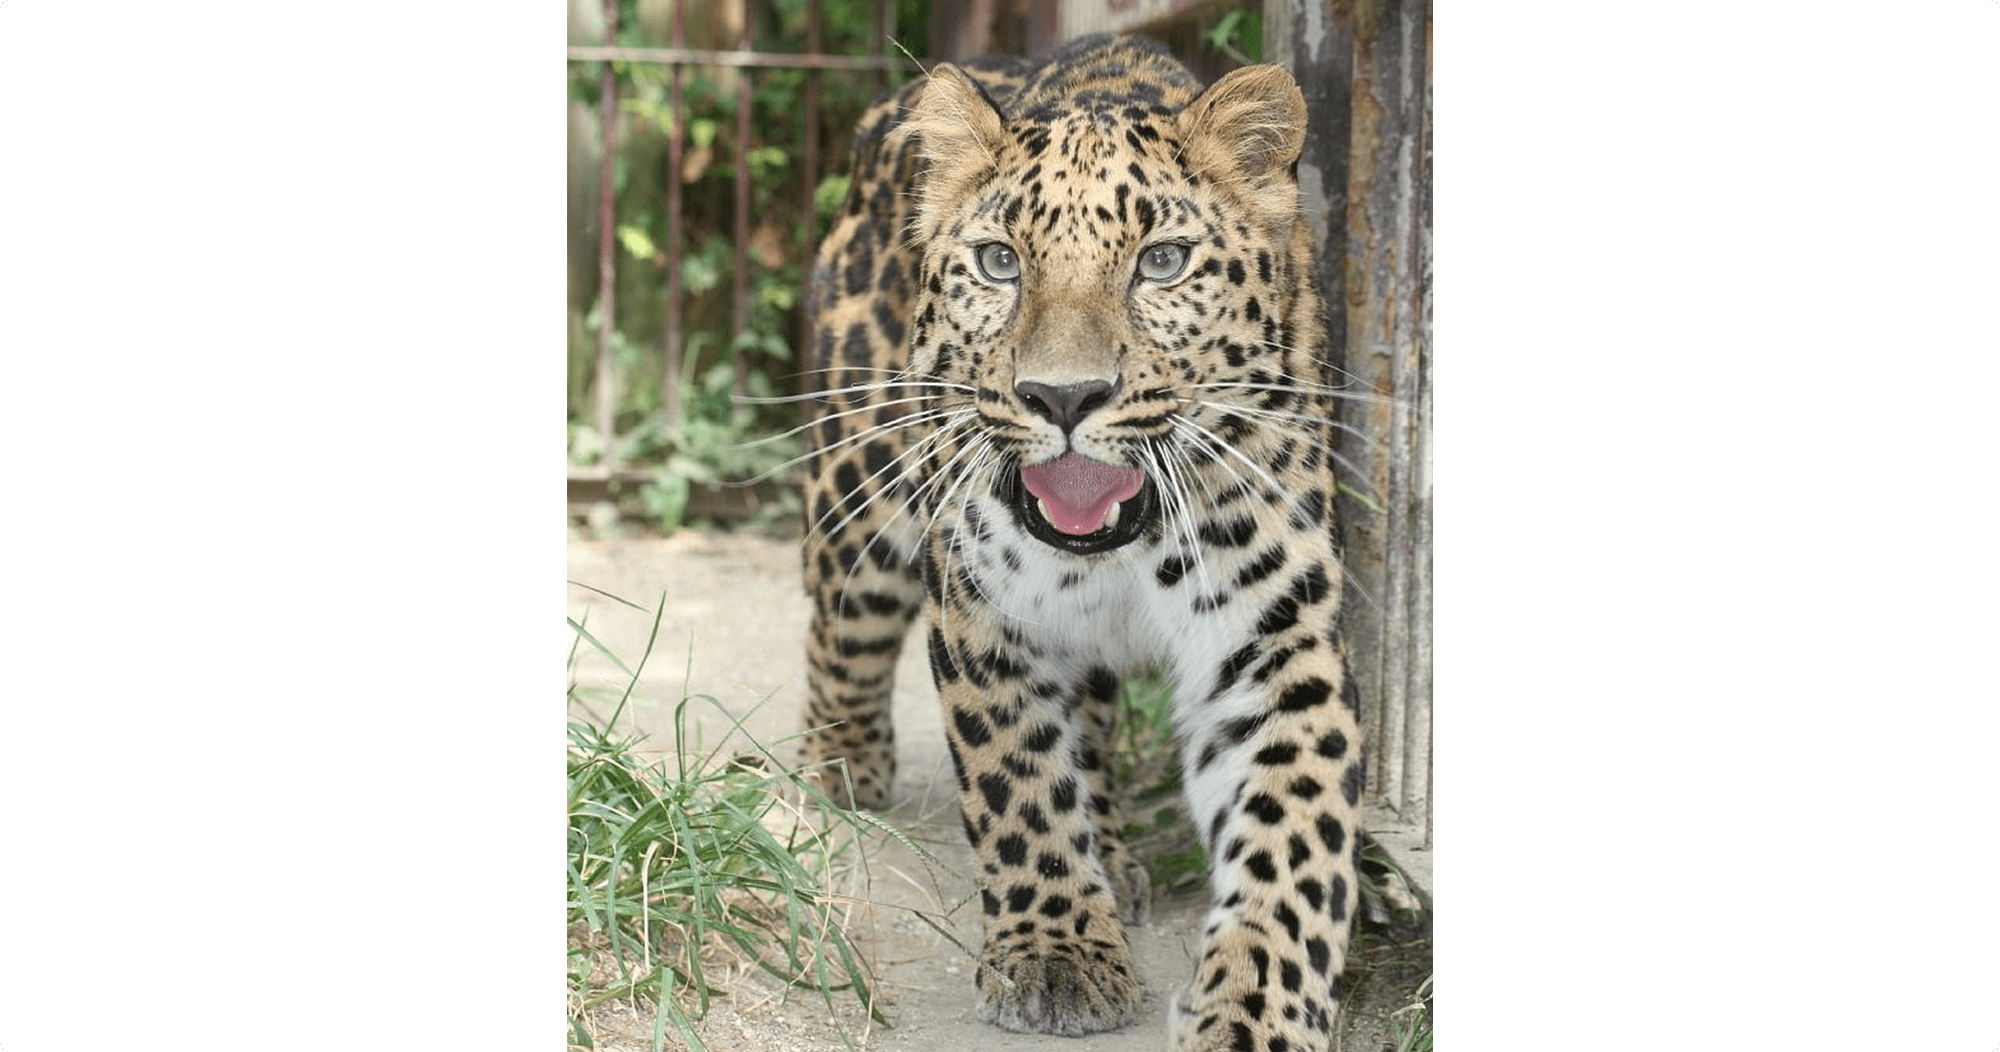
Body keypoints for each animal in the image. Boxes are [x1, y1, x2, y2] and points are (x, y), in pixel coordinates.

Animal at [796, 33, 1376, 1052]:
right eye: (998, 262)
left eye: (1162, 261)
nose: (1062, 398)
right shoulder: (984, 609)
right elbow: (1019, 782)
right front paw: (1058, 953)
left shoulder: (1276, 641)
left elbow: (1291, 834)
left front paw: (1256, 1008)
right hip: (858, 479)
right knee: (842, 622)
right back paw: (839, 767)